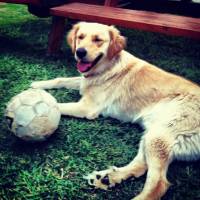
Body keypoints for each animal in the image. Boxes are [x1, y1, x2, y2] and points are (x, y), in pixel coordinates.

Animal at [30, 22, 200, 200]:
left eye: (98, 40)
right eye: (80, 37)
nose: (80, 52)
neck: (107, 68)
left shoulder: (87, 107)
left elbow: (57, 105)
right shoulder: (83, 82)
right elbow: (61, 79)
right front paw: (38, 84)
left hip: (159, 136)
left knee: (159, 184)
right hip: (151, 134)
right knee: (140, 166)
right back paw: (107, 178)